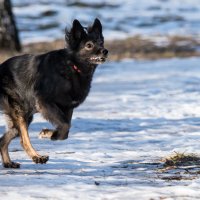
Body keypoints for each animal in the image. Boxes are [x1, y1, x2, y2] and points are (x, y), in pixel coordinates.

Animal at [0, 18, 108, 168]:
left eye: (101, 42)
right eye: (89, 45)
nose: (105, 51)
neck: (72, 66)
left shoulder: (67, 107)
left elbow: (65, 130)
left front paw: (50, 134)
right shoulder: (45, 102)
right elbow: (65, 125)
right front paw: (50, 134)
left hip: (24, 117)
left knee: (3, 140)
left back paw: (8, 162)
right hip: (20, 113)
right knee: (24, 140)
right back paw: (37, 157)